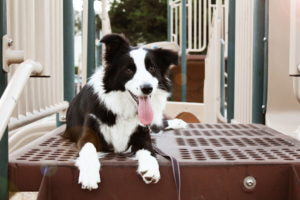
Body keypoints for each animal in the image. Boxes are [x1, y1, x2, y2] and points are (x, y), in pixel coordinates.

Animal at [62, 34, 185, 191]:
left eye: (152, 68)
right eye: (129, 70)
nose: (147, 88)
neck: (123, 110)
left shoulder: (142, 134)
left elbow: (149, 151)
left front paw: (150, 168)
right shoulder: (88, 134)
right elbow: (88, 148)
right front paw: (89, 175)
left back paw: (178, 122)